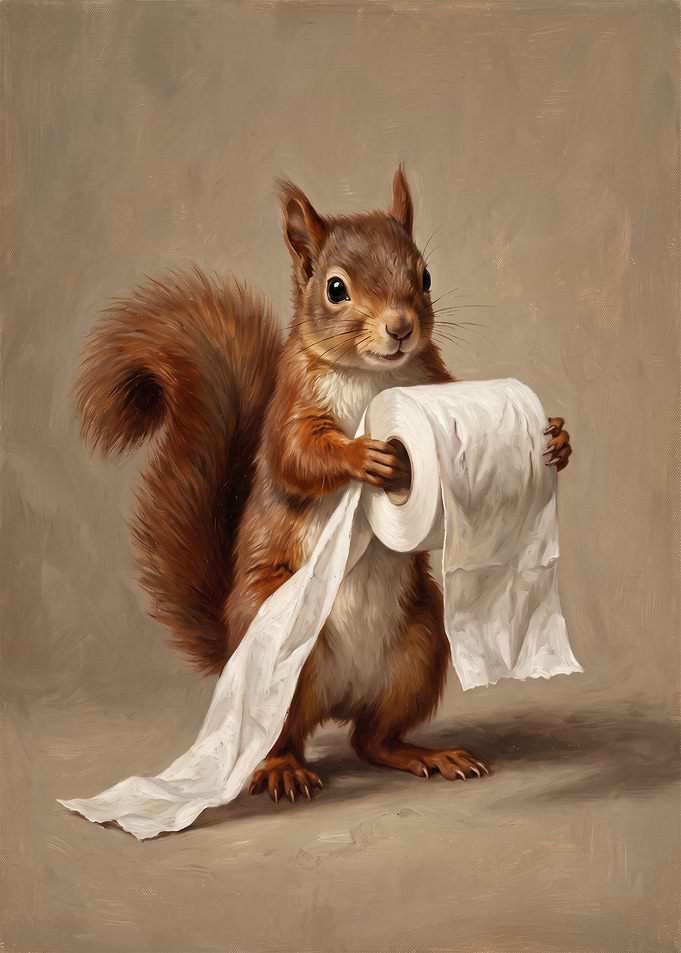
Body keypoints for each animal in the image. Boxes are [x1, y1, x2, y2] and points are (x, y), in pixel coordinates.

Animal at [76, 167, 572, 802]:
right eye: (336, 289)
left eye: (425, 276)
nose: (400, 327)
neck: (371, 376)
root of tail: (339, 697)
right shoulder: (290, 405)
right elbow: (297, 458)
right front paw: (365, 454)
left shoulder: (436, 384)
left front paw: (558, 440)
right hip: (281, 650)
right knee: (279, 737)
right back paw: (282, 770)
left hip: (420, 646)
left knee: (372, 740)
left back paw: (426, 755)